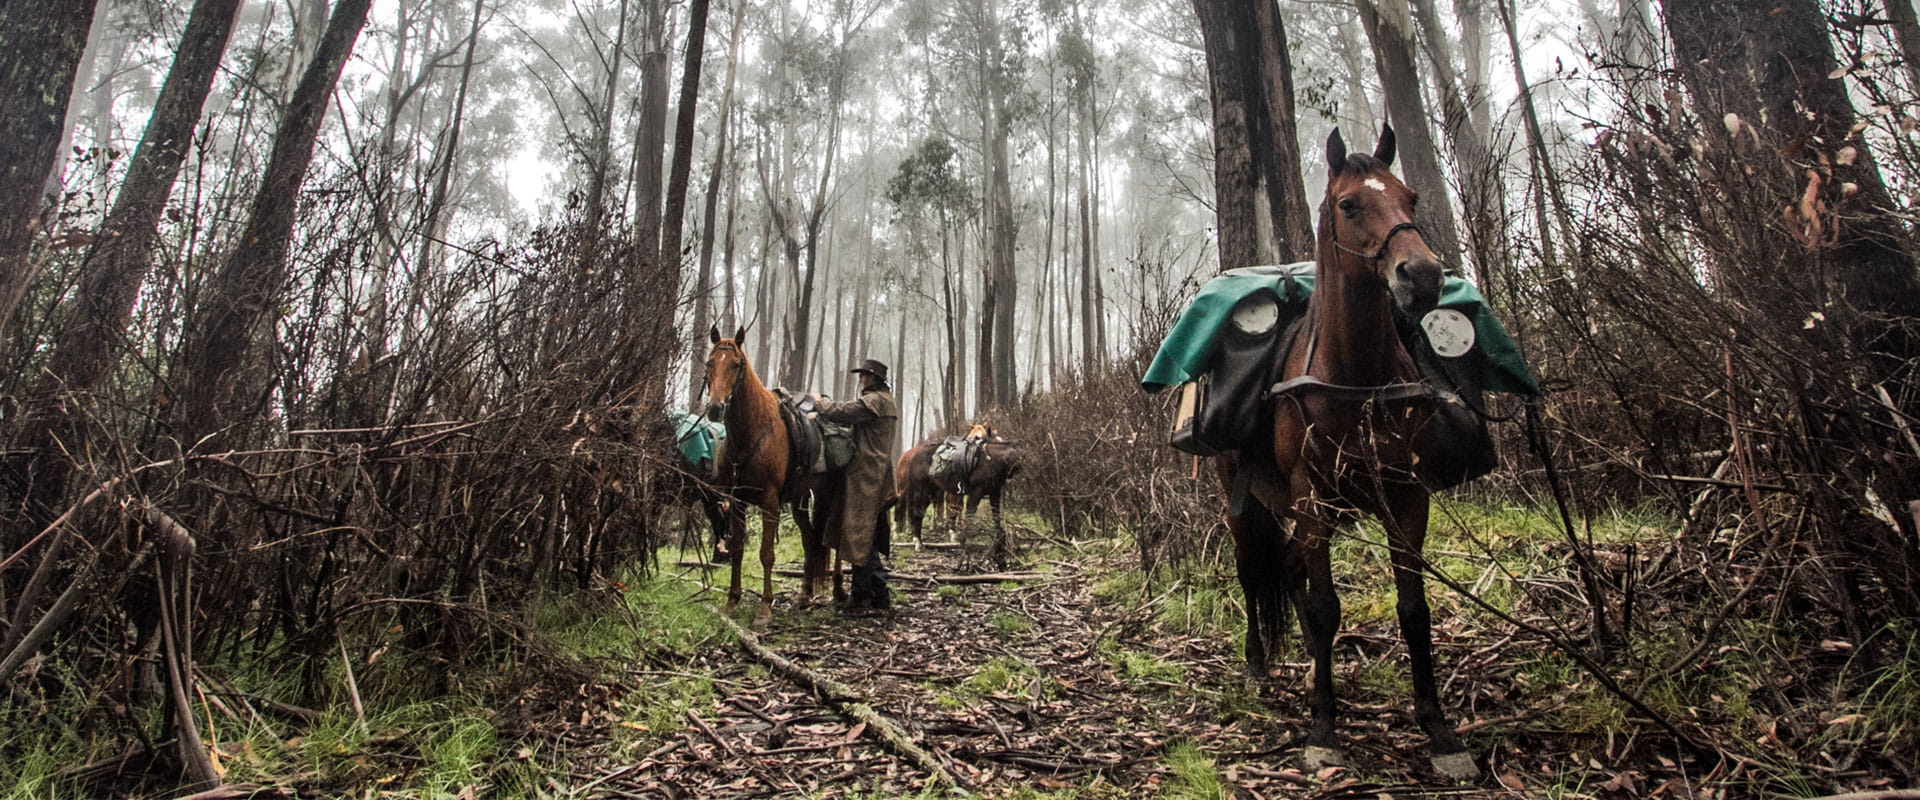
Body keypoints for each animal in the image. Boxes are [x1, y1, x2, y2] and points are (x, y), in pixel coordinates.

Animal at [701, 326, 839, 627]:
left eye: (736, 364)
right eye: (709, 363)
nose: (715, 408)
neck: (752, 433)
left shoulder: (770, 502)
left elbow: (766, 554)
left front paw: (764, 609)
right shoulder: (737, 501)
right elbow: (738, 549)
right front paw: (732, 601)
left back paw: (839, 590)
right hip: (800, 500)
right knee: (810, 540)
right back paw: (804, 595)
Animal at [1218, 126, 1479, 779]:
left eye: (1411, 198)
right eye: (1349, 205)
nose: (1423, 276)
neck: (1356, 376)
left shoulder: (1406, 497)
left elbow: (1413, 608)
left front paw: (1439, 731)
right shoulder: (1310, 495)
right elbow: (1325, 605)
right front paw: (1323, 728)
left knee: (1289, 569)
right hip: (1247, 503)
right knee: (1254, 571)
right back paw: (1260, 665)